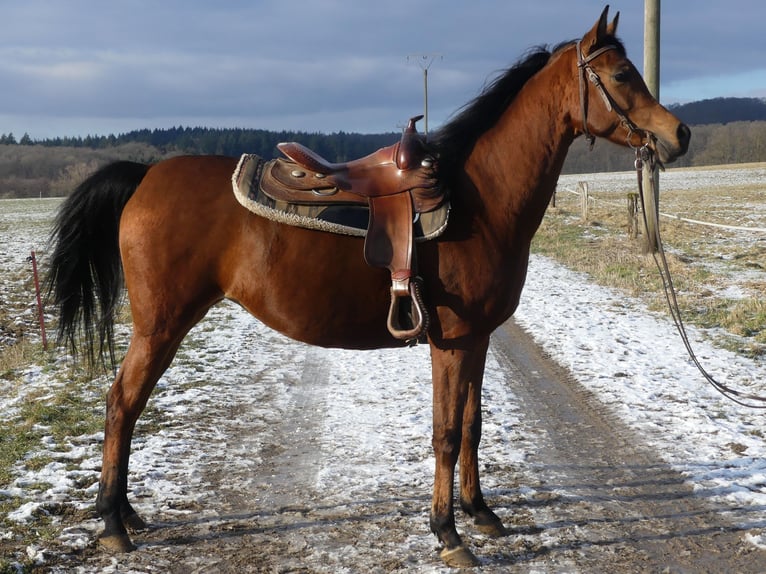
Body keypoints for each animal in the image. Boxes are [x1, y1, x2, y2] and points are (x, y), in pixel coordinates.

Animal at [49, 6, 696, 568]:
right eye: (621, 74)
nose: (680, 134)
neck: (479, 201)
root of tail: (145, 175)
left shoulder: (480, 338)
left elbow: (474, 425)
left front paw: (480, 512)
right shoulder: (452, 342)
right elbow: (446, 432)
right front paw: (447, 533)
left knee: (126, 407)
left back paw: (126, 515)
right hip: (162, 324)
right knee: (121, 404)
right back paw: (112, 524)